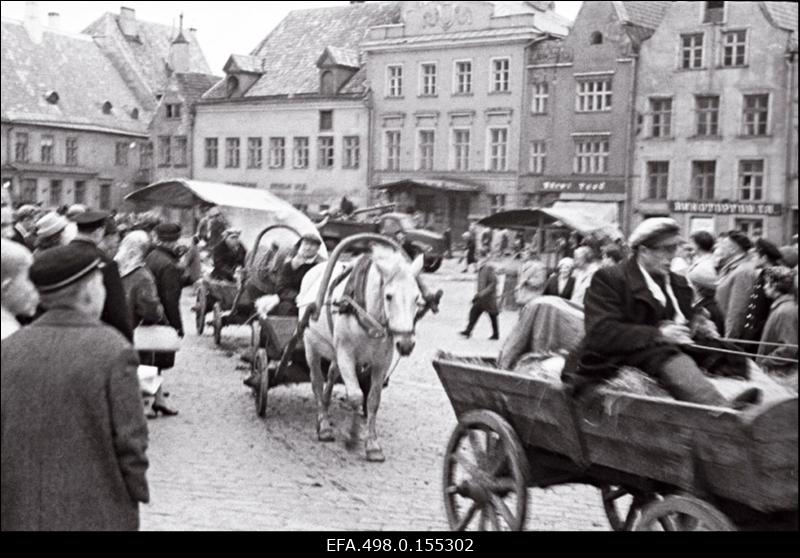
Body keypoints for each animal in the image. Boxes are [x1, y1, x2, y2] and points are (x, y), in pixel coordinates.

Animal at [298, 246, 424, 464]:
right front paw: (352, 436)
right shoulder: (346, 355)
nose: (406, 344)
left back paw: (326, 406)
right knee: (317, 382)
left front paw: (372, 444)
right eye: (389, 296)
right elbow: (356, 395)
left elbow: (373, 400)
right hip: (311, 347)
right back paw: (323, 423)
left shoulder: (381, 362)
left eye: (417, 298)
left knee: (331, 375)